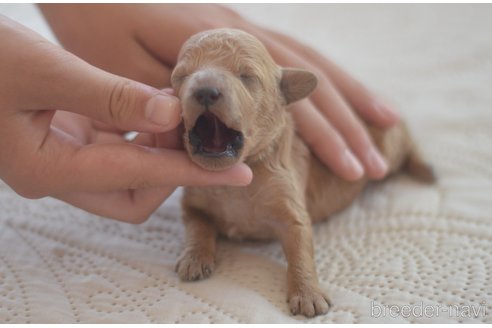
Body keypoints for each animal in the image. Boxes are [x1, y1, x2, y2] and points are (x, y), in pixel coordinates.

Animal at [170, 28, 434, 318]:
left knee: (407, 144)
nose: (205, 91)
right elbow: (197, 226)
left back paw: (423, 167)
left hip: (388, 143)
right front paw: (194, 258)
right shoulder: (194, 202)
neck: (237, 177)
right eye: (182, 76)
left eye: (246, 76)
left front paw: (308, 294)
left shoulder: (290, 204)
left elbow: (300, 249)